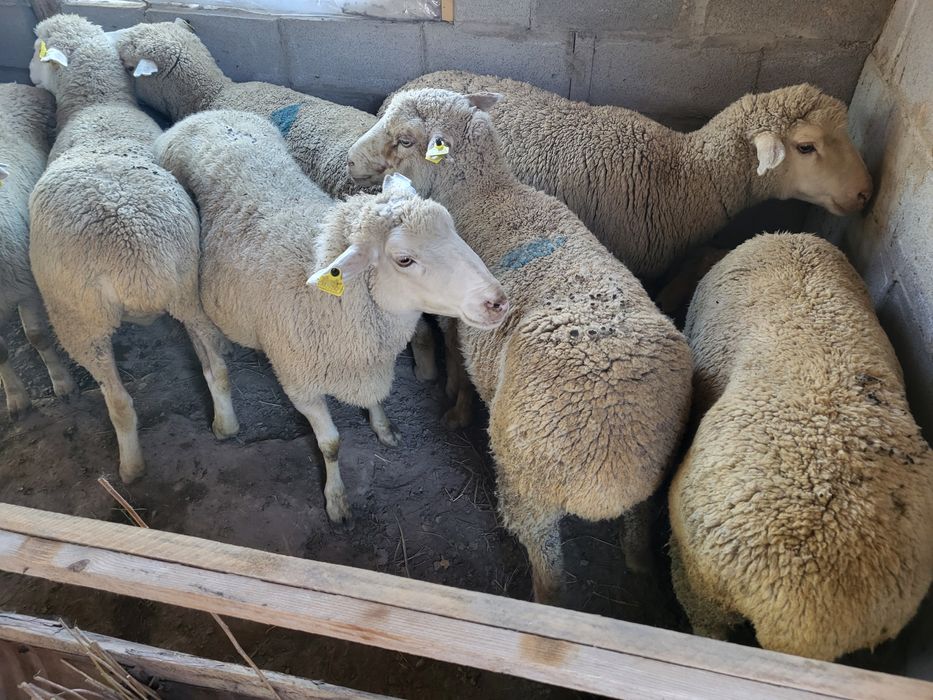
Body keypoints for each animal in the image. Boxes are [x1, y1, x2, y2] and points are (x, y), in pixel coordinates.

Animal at [28, 14, 238, 483]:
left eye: (37, 49)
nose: (30, 77)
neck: (98, 104)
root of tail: (134, 260)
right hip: (188, 287)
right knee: (216, 365)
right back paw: (226, 425)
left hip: (79, 317)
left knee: (120, 402)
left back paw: (130, 468)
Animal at [154, 109, 508, 523]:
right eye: (404, 259)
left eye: (452, 228)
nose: (497, 301)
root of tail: (202, 116)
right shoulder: (299, 384)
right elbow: (331, 444)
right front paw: (336, 500)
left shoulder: (365, 361)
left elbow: (375, 400)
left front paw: (383, 428)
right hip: (188, 289)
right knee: (211, 362)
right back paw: (225, 420)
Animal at [348, 89, 694, 601]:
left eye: (405, 139)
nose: (351, 161)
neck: (487, 193)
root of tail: (615, 451)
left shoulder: (457, 318)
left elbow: (458, 363)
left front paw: (455, 409)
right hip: (650, 474)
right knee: (636, 525)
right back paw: (640, 568)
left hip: (527, 480)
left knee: (546, 561)